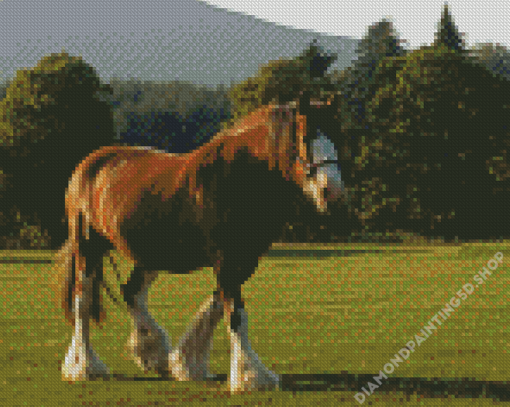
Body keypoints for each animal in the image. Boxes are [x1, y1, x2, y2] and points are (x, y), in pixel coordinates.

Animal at [55, 97, 342, 394]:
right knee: (82, 300)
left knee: (132, 292)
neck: (241, 176)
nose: (332, 193)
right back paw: (85, 367)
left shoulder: (242, 260)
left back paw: (153, 353)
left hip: (150, 255)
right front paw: (250, 376)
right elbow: (235, 313)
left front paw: (188, 363)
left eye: (338, 137)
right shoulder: (226, 260)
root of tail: (88, 164)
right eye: (305, 137)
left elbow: (218, 306)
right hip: (88, 247)